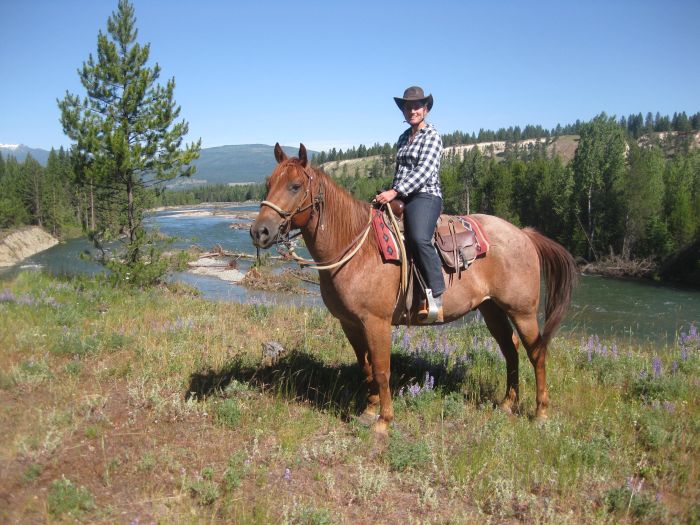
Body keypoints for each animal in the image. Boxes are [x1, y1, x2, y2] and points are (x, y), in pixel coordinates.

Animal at [249, 142, 576, 430]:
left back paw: (540, 413)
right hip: (492, 309)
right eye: (268, 183)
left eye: (294, 186)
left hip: (522, 311)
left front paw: (384, 421)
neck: (356, 247)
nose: (259, 231)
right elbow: (366, 367)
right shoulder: (350, 323)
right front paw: (368, 412)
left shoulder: (376, 322)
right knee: (511, 350)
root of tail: (523, 233)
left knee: (536, 353)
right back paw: (507, 404)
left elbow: (382, 370)